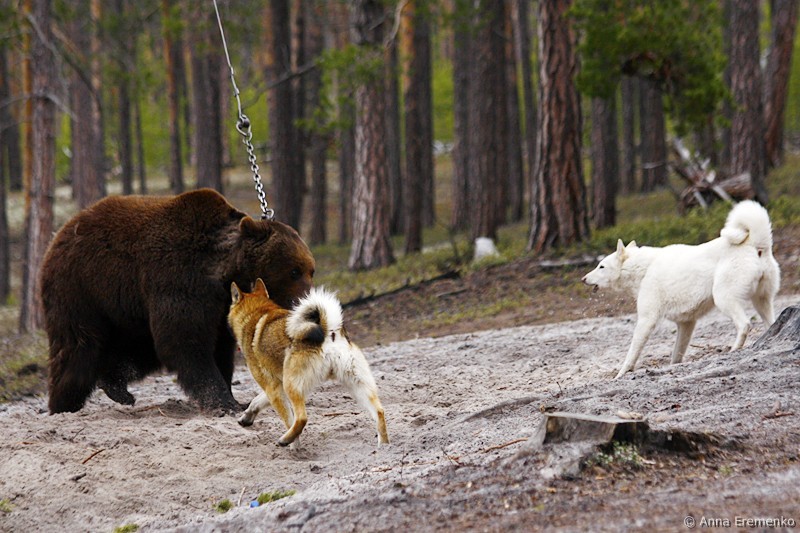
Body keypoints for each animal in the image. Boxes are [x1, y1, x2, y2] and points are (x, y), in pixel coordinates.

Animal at [40, 188, 315, 414]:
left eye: (311, 270)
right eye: (294, 271)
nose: (307, 304)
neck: (222, 273)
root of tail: (60, 234)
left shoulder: (218, 306)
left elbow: (219, 348)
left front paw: (233, 397)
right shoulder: (179, 279)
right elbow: (186, 341)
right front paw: (223, 402)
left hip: (125, 308)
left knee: (136, 347)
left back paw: (117, 387)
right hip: (82, 289)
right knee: (78, 347)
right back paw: (63, 405)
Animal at [228, 279, 389, 446]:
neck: (256, 312)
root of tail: (329, 331)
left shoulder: (273, 388)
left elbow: (287, 419)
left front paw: (295, 446)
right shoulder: (276, 385)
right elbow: (255, 401)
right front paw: (246, 417)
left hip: (292, 386)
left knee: (301, 418)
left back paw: (286, 440)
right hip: (358, 385)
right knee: (379, 412)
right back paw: (384, 447)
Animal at [582, 200, 780, 378]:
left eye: (601, 266)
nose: (583, 279)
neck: (643, 268)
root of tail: (755, 244)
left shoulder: (647, 320)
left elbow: (632, 352)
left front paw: (621, 374)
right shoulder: (686, 324)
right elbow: (676, 355)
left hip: (723, 299)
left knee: (744, 324)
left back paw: (734, 349)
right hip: (761, 301)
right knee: (770, 322)